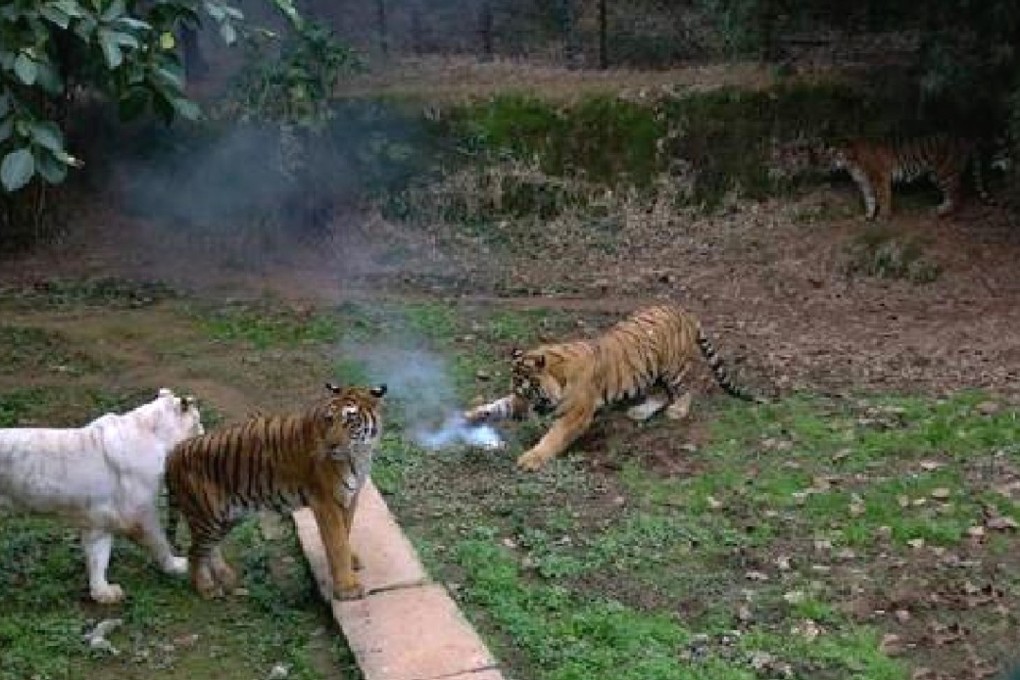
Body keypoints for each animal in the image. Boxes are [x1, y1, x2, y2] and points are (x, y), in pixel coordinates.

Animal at [166, 382, 386, 600]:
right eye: (330, 419)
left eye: (351, 421)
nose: (331, 446)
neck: (359, 453)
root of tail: (176, 450)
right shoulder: (326, 502)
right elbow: (337, 543)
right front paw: (348, 588)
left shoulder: (350, 497)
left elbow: (345, 531)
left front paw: (351, 561)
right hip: (207, 516)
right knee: (194, 553)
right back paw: (206, 588)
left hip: (226, 516)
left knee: (210, 549)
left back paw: (226, 576)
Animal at [464, 304, 761, 471]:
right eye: (517, 391)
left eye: (528, 391)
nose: (520, 412)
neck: (558, 376)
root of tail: (685, 312)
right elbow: (497, 404)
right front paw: (471, 415)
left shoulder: (576, 415)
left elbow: (553, 437)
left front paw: (532, 459)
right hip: (651, 371)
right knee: (659, 394)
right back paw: (640, 412)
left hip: (672, 367)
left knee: (686, 391)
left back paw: (677, 411)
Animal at [827, 134, 988, 220]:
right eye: (831, 157)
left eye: (837, 156)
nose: (829, 165)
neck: (852, 162)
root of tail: (965, 138)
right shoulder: (865, 184)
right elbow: (870, 200)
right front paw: (868, 216)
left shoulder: (880, 178)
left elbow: (884, 198)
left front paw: (883, 217)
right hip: (936, 175)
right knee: (951, 194)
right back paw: (939, 209)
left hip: (946, 172)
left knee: (957, 194)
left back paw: (946, 214)